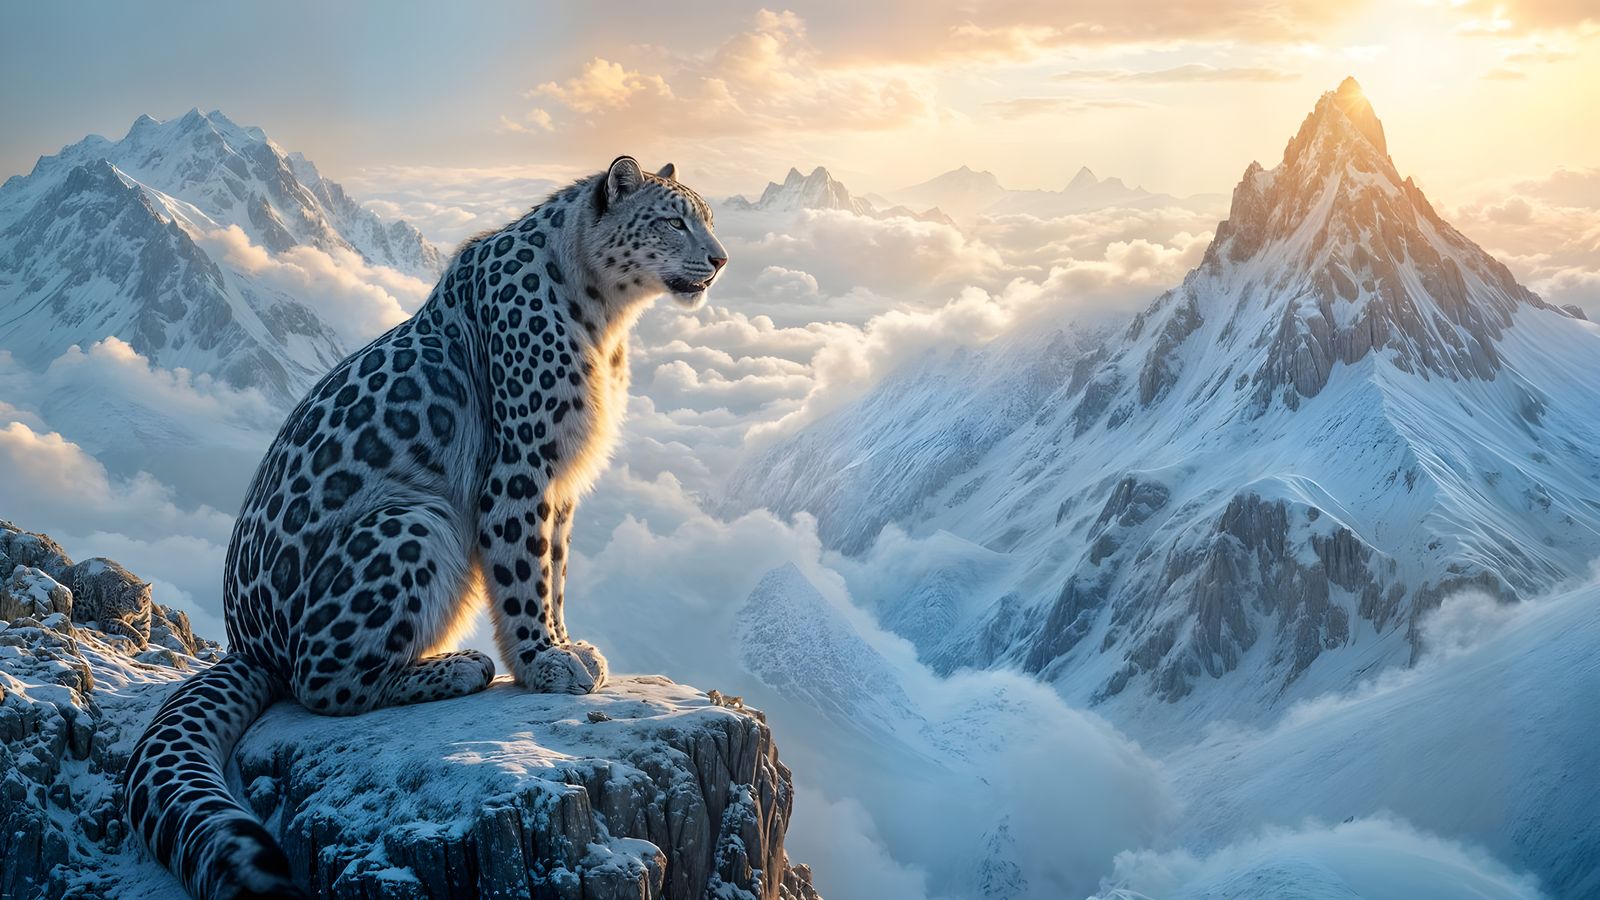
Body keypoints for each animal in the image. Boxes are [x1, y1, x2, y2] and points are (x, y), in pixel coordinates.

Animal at [121, 157, 727, 899]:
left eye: (707, 219)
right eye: (673, 220)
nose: (720, 259)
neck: (607, 317)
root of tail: (245, 641)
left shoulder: (560, 483)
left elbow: (553, 570)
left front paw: (566, 646)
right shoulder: (520, 469)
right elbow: (523, 573)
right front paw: (542, 661)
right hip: (414, 521)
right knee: (321, 681)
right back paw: (458, 667)